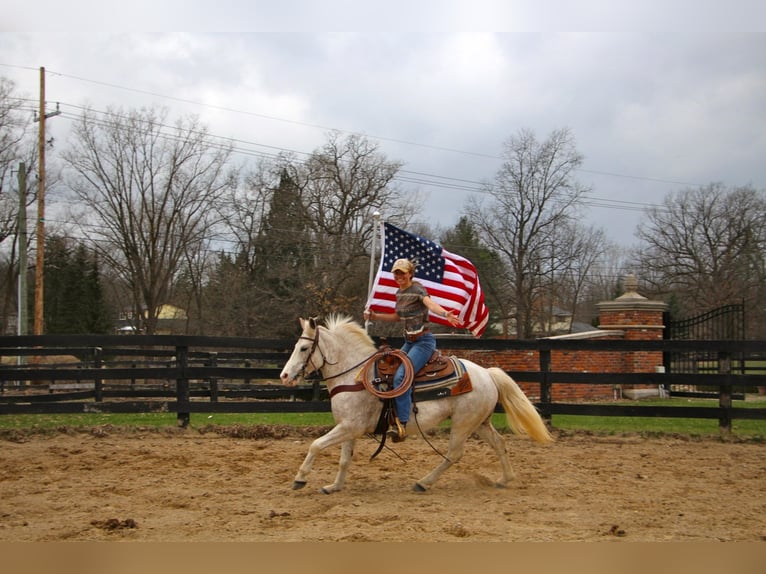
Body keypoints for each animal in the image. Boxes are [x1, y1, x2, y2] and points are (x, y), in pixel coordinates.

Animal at [280, 316, 556, 496]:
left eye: (304, 347)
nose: (284, 376)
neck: (354, 376)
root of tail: (487, 373)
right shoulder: (349, 428)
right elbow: (344, 460)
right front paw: (334, 486)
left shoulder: (350, 427)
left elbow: (316, 445)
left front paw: (299, 479)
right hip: (479, 423)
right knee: (499, 443)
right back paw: (505, 479)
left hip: (463, 423)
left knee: (454, 454)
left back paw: (424, 483)